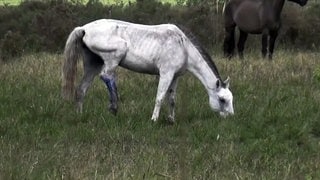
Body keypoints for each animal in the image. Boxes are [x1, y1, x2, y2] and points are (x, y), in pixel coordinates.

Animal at [62, 18, 234, 122]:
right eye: (222, 99)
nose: (231, 117)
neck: (183, 46)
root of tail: (84, 28)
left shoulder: (175, 77)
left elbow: (172, 99)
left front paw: (171, 120)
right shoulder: (166, 74)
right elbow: (160, 97)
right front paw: (154, 120)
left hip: (93, 64)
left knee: (82, 89)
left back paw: (79, 114)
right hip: (113, 58)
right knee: (107, 76)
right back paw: (114, 107)